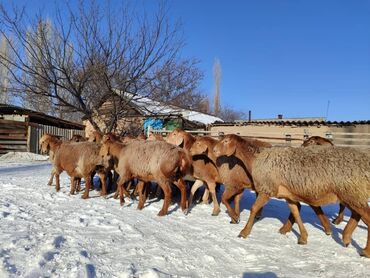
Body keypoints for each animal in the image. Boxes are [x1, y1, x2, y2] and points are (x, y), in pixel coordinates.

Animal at [214, 138, 370, 258]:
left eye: (226, 140)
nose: (214, 150)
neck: (255, 159)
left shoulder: (266, 190)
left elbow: (254, 209)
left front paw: (244, 231)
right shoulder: (289, 196)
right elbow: (296, 212)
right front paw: (303, 237)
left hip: (351, 192)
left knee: (365, 217)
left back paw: (364, 250)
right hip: (352, 195)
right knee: (357, 215)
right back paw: (346, 236)